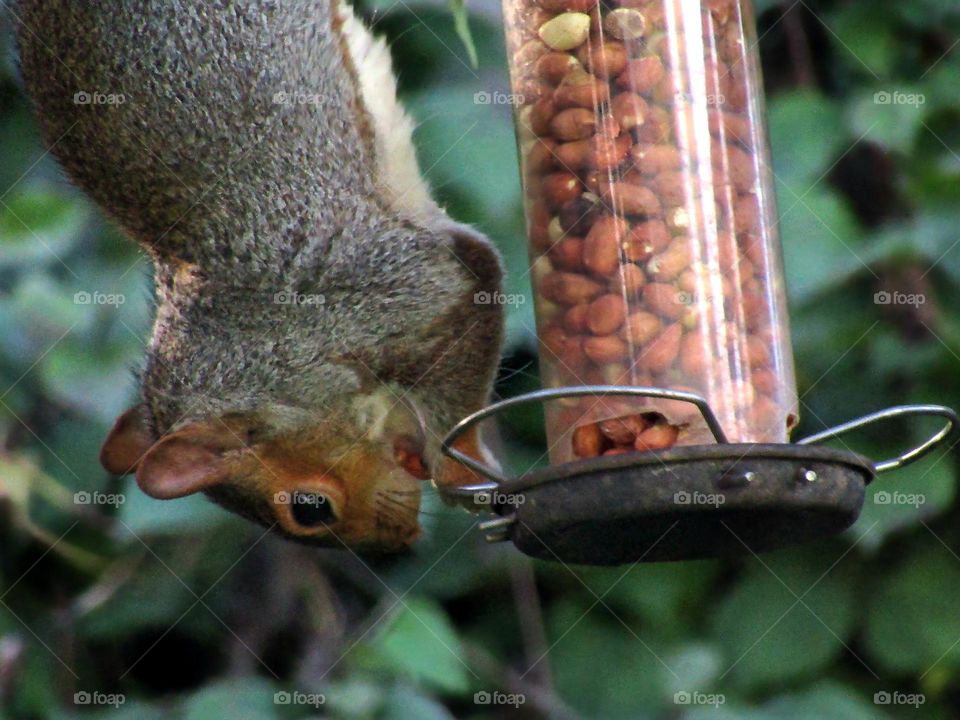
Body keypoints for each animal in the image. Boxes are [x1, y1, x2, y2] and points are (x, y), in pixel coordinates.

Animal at [15, 1, 506, 552]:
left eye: (310, 509)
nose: (403, 538)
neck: (254, 351)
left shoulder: (390, 285)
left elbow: (467, 290)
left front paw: (461, 468)